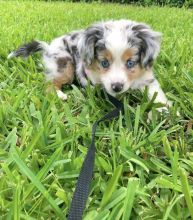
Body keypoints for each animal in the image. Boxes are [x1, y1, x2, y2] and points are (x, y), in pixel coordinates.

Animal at [8, 19, 171, 111]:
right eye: (104, 62)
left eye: (130, 63)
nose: (117, 87)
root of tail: (48, 47)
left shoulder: (146, 77)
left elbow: (156, 93)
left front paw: (165, 110)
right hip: (65, 64)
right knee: (49, 84)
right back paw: (61, 95)